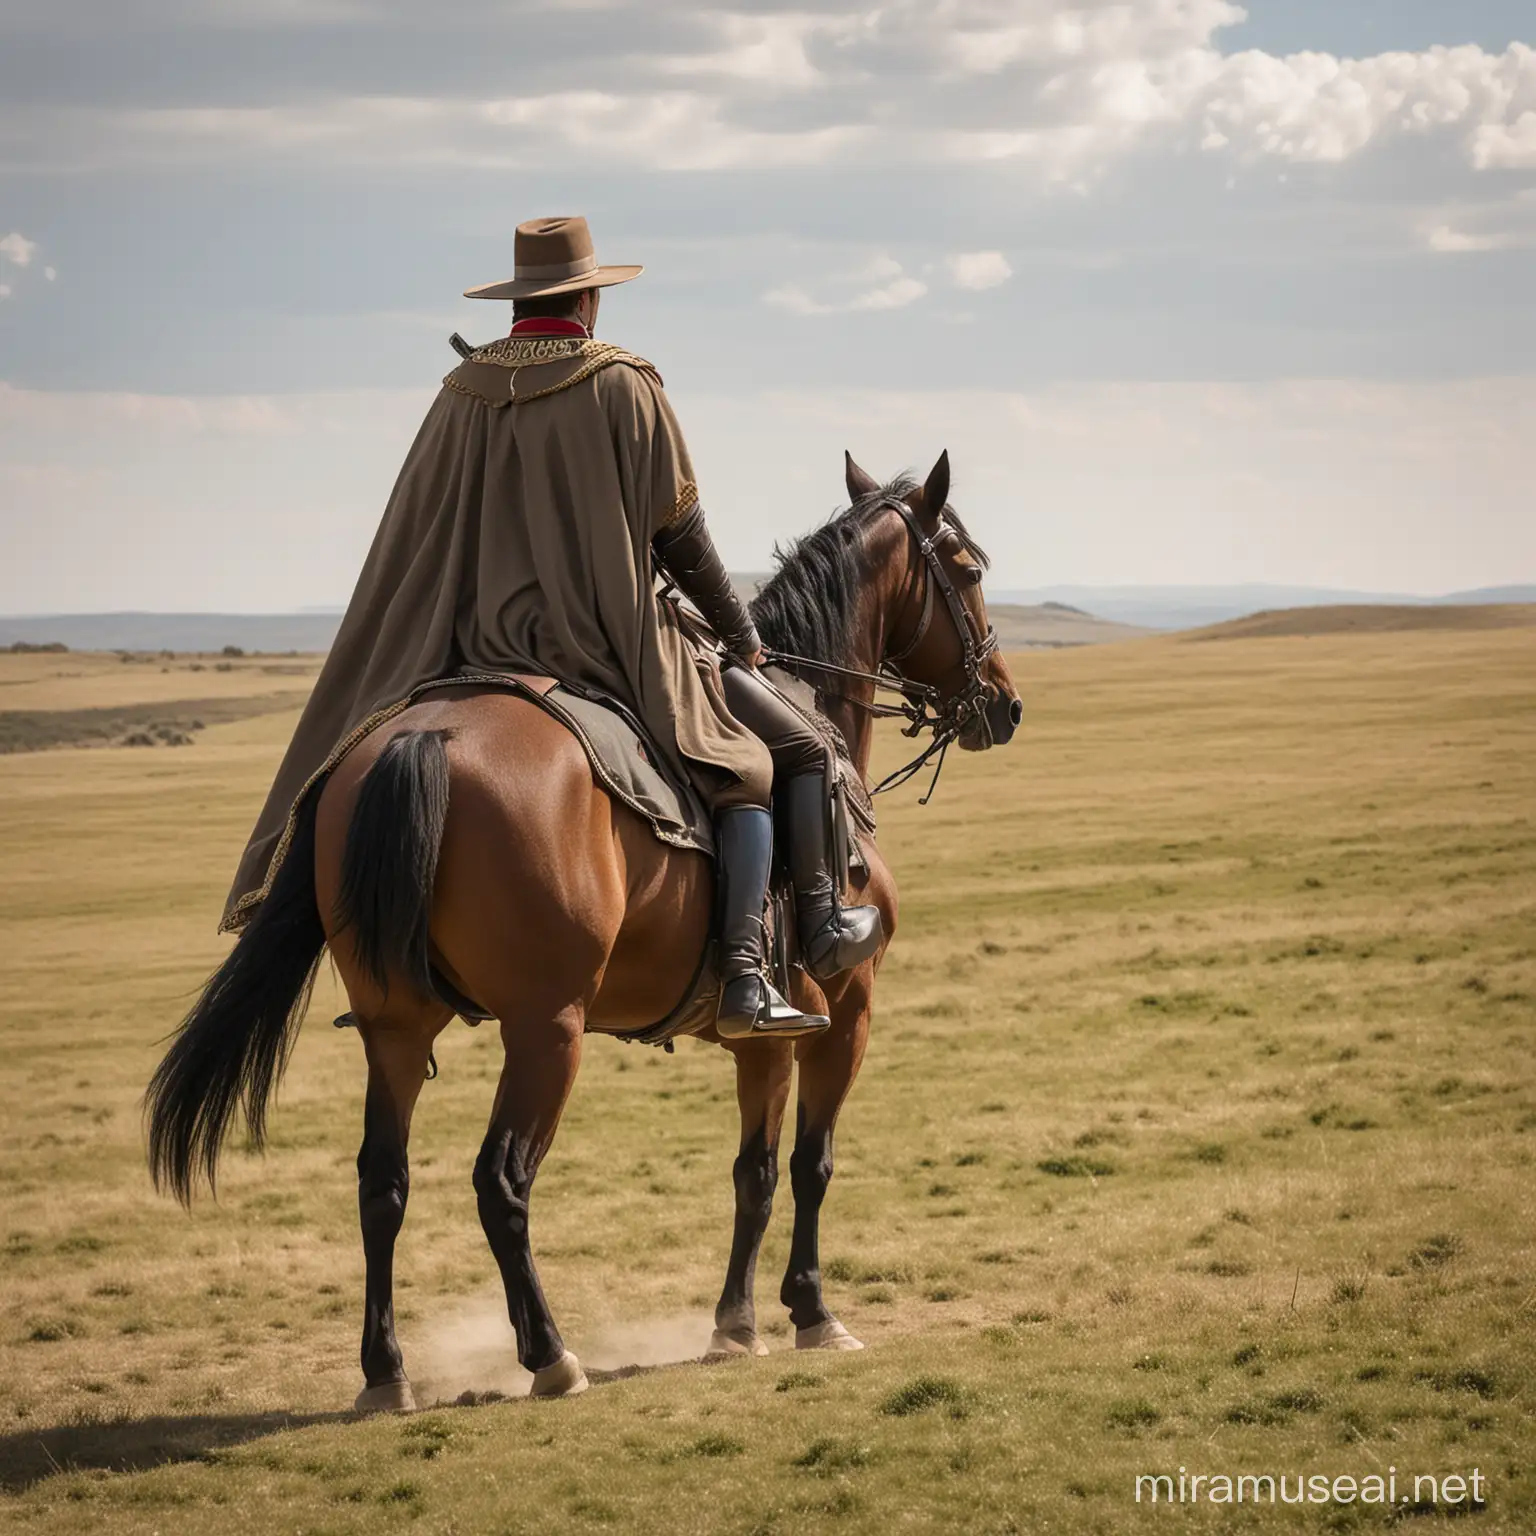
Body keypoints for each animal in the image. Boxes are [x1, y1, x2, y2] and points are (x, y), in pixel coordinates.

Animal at [146, 448, 1019, 1406]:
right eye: (969, 569)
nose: (1003, 703)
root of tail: (424, 736)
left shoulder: (762, 1036)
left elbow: (752, 1174)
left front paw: (737, 1325)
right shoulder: (841, 1012)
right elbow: (804, 1166)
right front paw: (810, 1313)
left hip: (395, 1027)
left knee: (383, 1182)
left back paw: (387, 1373)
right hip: (546, 1029)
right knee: (502, 1179)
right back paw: (550, 1356)